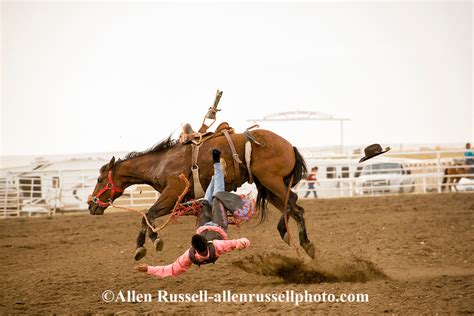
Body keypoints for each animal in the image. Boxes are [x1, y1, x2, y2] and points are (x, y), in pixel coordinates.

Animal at [87, 130, 314, 260]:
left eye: (99, 179)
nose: (91, 205)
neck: (160, 162)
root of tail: (290, 146)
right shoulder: (176, 201)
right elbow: (146, 215)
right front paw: (140, 247)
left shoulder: (173, 195)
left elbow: (148, 214)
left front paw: (153, 240)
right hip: (268, 187)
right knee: (293, 207)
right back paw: (297, 239)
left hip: (272, 181)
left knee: (295, 205)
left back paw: (296, 238)